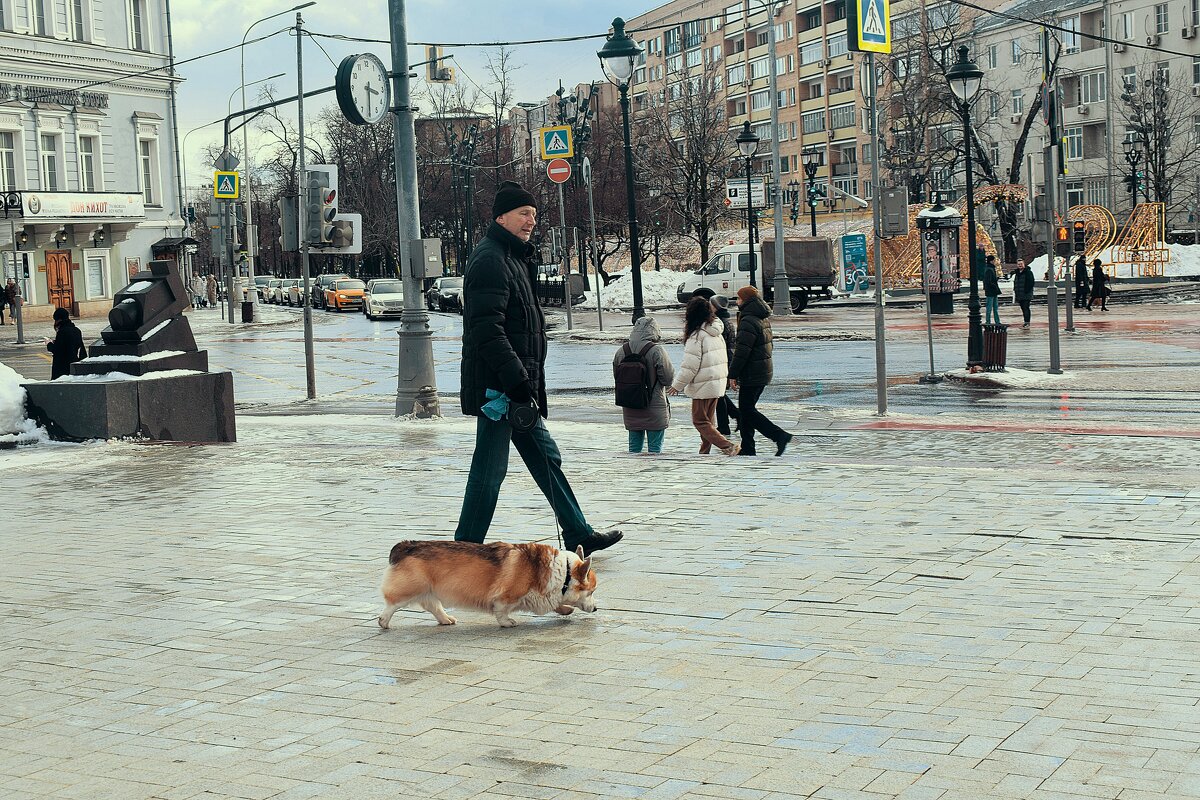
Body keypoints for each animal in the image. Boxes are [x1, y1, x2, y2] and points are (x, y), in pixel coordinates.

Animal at [376, 542, 597, 628]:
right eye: (592, 591)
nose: (596, 609)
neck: (564, 572)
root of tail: (404, 546)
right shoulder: (506, 596)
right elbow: (502, 610)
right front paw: (507, 622)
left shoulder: (542, 596)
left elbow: (557, 604)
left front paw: (566, 610)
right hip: (410, 589)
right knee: (392, 604)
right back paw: (383, 622)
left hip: (430, 591)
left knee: (433, 605)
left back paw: (447, 619)